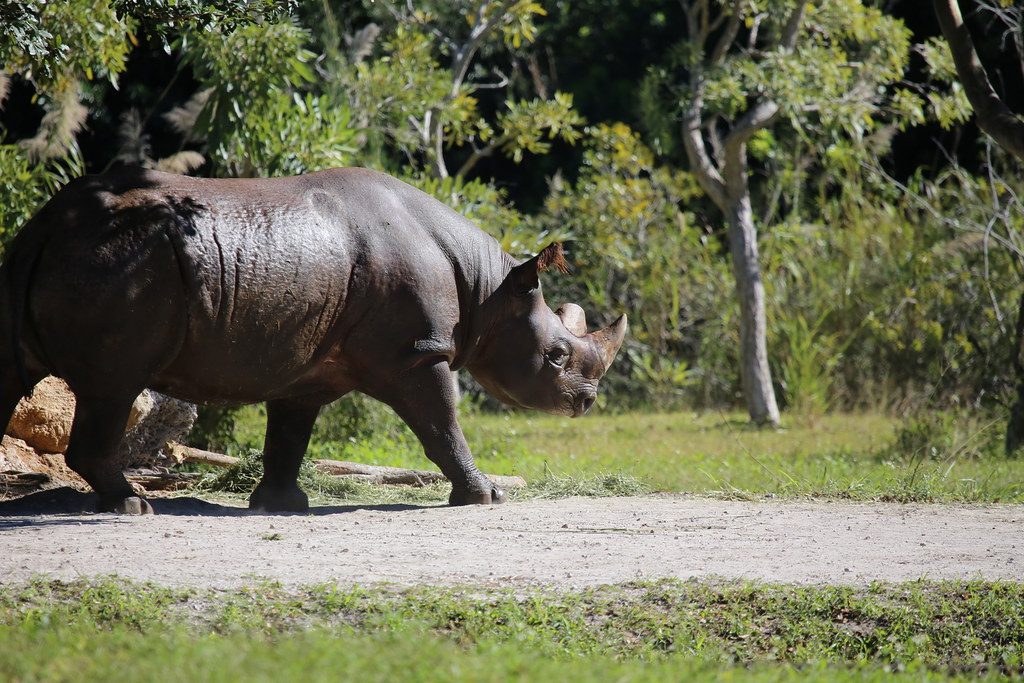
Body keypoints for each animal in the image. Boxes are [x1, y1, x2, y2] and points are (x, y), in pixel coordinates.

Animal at [0, 167, 626, 514]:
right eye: (556, 356)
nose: (586, 402)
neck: (488, 290)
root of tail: (49, 221)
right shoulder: (416, 354)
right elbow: (442, 424)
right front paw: (486, 497)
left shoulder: (304, 364)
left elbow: (290, 435)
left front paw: (280, 505)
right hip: (123, 262)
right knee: (115, 384)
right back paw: (133, 506)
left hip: (78, 252)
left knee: (17, 368)